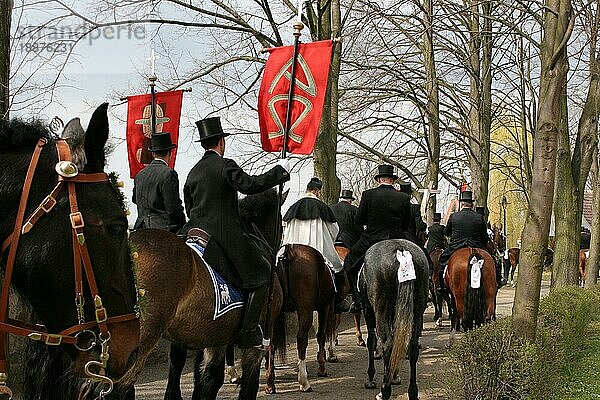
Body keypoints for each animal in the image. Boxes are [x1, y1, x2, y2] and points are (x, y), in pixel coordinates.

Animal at [268, 242, 338, 392]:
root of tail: (289, 252)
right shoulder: (325, 307)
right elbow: (321, 335)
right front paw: (322, 367)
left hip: (274, 313)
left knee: (271, 342)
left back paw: (270, 383)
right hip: (305, 310)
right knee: (301, 339)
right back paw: (304, 381)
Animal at [358, 239, 428, 400]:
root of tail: (400, 250)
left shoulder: (368, 311)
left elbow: (371, 341)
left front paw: (371, 378)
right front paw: (395, 375)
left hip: (380, 309)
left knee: (387, 345)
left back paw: (384, 391)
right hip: (417, 309)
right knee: (412, 346)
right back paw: (412, 392)